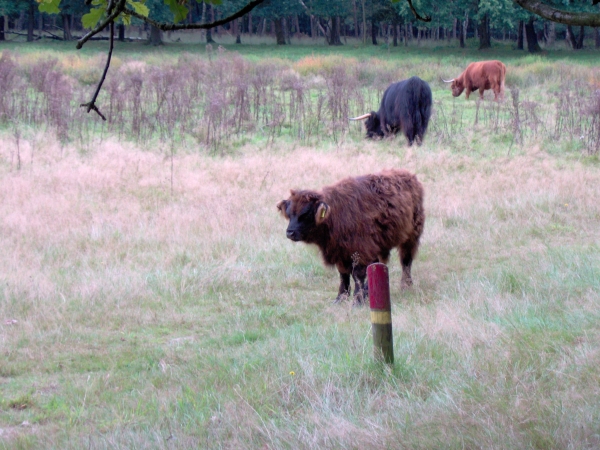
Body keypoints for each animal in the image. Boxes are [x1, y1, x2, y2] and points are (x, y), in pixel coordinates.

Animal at [278, 170, 426, 306]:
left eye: (306, 214)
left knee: (406, 261)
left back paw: (405, 286)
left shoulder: (359, 252)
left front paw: (357, 301)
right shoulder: (341, 253)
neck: (333, 214)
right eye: (289, 214)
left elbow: (357, 275)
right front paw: (340, 299)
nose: (290, 233)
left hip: (411, 238)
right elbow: (344, 275)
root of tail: (411, 177)